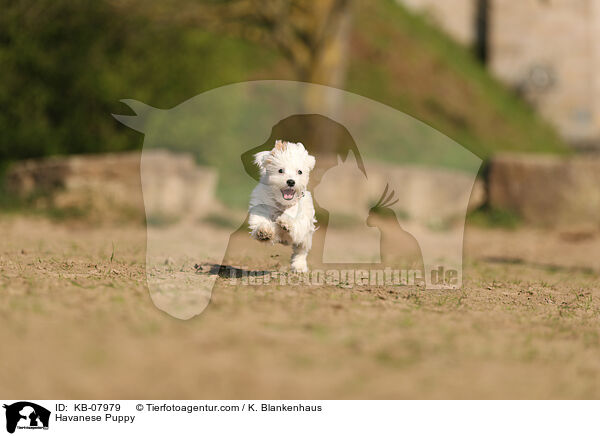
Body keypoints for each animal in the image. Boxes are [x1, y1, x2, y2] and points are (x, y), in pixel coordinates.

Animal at [247, 140, 316, 270]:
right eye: (280, 170)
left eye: (299, 172)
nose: (291, 181)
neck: (282, 204)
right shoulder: (261, 207)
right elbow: (260, 221)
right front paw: (264, 231)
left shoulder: (301, 220)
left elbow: (294, 221)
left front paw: (286, 222)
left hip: (306, 238)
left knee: (300, 251)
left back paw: (299, 266)